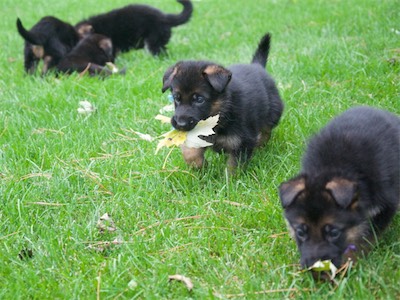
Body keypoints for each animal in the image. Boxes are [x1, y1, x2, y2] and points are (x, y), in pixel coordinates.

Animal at [161, 33, 282, 169]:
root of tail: (257, 66)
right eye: (176, 98)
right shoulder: (197, 137)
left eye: (199, 99)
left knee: (266, 132)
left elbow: (233, 167)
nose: (181, 125)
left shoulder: (241, 143)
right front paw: (200, 166)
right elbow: (190, 153)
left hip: (271, 115)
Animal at [278, 106, 400, 270]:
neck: (334, 167)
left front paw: (352, 260)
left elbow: (367, 237)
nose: (314, 268)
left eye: (334, 233)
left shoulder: (386, 206)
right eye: (300, 232)